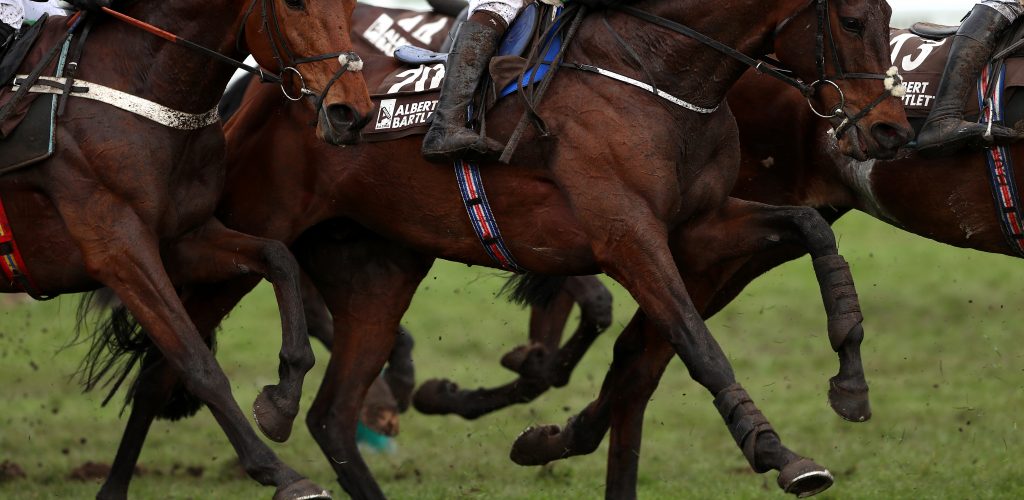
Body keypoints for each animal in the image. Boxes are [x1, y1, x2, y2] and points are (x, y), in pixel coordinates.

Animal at [0, 1, 376, 497]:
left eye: (351, 7)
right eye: (294, 4)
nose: (352, 113)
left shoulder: (182, 240)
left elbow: (278, 258)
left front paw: (282, 400)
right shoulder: (117, 246)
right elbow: (196, 362)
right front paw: (282, 474)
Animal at [92, 0, 909, 497]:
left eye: (890, 18)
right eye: (855, 19)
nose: (892, 128)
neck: (657, 73)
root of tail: (266, 92)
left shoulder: (697, 227)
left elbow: (812, 228)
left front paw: (850, 377)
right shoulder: (628, 236)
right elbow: (699, 346)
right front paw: (779, 454)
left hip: (378, 267)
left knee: (331, 414)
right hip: (236, 239)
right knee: (163, 371)